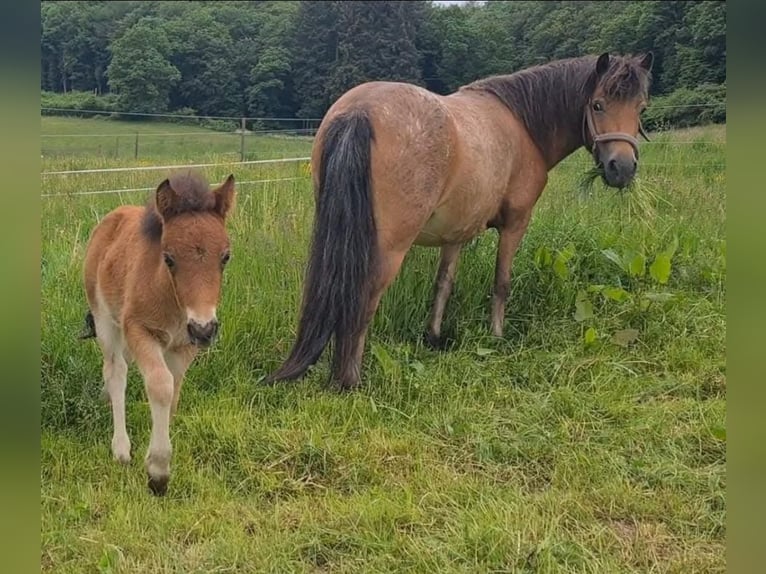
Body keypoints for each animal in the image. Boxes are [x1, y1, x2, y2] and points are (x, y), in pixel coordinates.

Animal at [82, 170, 234, 496]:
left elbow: (173, 390)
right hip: (105, 320)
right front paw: (158, 472)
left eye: (226, 257)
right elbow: (161, 385)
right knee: (116, 370)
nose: (204, 329)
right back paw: (121, 449)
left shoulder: (184, 345)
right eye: (169, 258)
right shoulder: (139, 329)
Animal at [268, 53, 656, 392]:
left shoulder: (456, 232)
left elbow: (443, 284)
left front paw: (434, 336)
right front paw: (496, 337)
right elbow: (501, 283)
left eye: (641, 108)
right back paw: (348, 380)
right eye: (598, 104)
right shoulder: (516, 223)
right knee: (364, 298)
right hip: (388, 248)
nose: (622, 168)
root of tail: (360, 110)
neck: (522, 124)